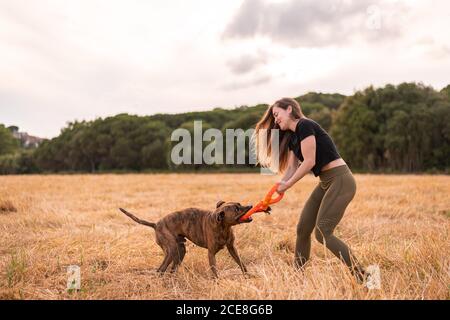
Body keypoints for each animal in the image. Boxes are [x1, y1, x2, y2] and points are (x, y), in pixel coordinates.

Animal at [119, 202, 268, 278]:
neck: (222, 226)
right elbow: (214, 270)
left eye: (239, 204)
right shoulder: (211, 253)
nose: (251, 205)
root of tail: (155, 224)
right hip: (171, 250)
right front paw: (218, 281)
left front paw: (248, 276)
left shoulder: (232, 248)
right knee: (161, 269)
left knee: (172, 268)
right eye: (237, 209)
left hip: (180, 251)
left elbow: (241, 263)